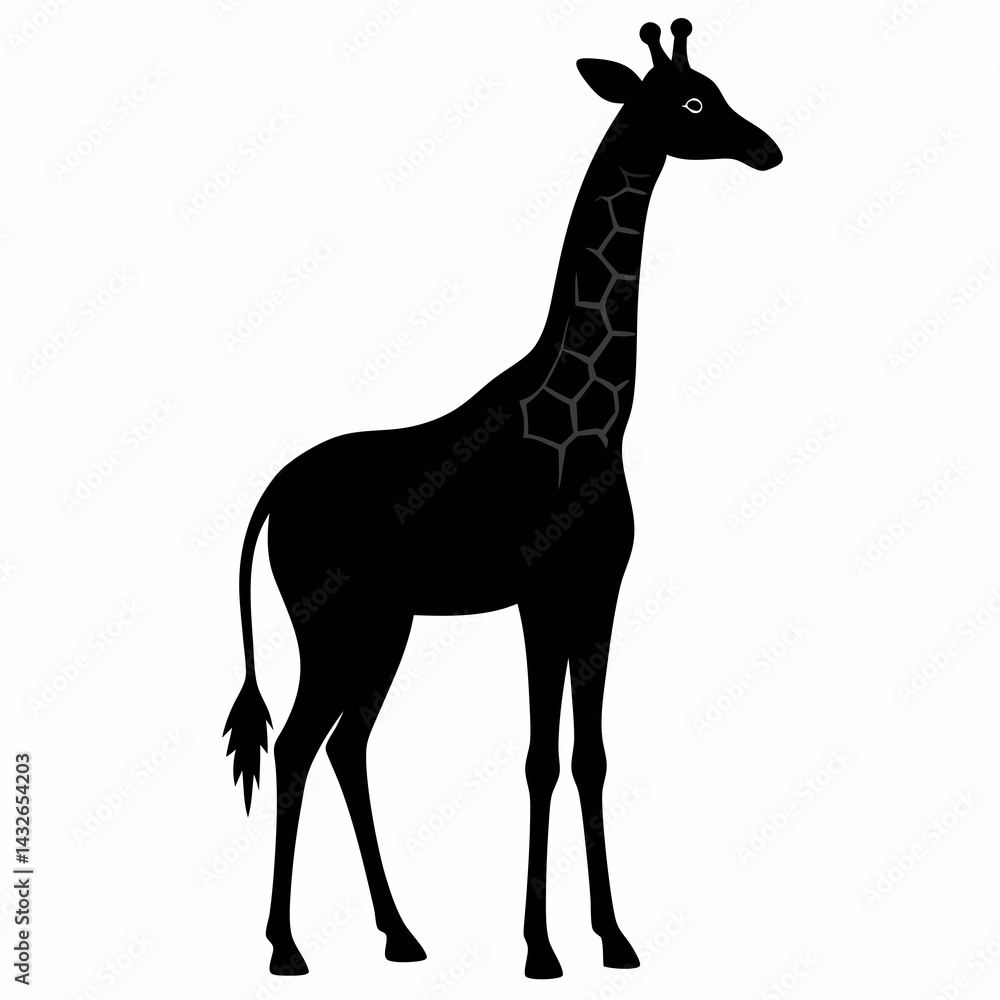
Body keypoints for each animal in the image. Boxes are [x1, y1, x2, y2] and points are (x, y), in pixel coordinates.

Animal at [224, 18, 782, 980]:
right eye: (693, 100)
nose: (766, 148)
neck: (600, 417)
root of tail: (271, 496)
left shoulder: (596, 591)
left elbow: (589, 756)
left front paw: (613, 939)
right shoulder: (538, 593)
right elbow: (537, 759)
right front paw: (541, 950)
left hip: (382, 625)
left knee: (345, 745)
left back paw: (401, 935)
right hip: (331, 621)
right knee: (299, 746)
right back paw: (288, 949)